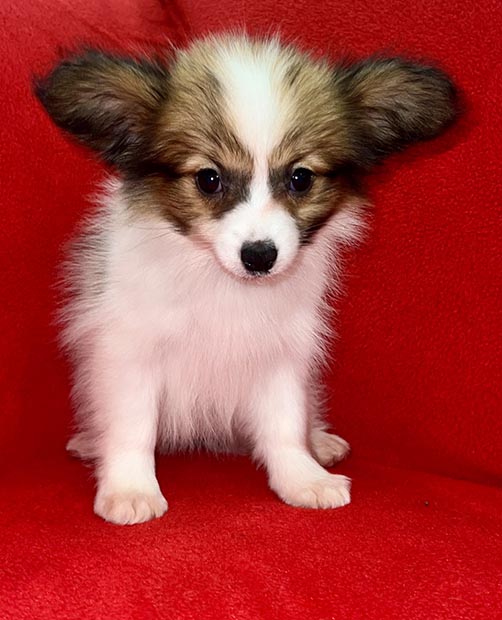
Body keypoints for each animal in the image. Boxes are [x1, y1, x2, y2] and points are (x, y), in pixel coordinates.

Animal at [35, 35, 457, 524]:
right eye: (208, 179)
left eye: (300, 178)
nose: (259, 256)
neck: (223, 283)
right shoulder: (130, 351)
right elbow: (131, 426)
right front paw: (129, 488)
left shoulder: (283, 353)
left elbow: (285, 425)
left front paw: (303, 477)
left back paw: (320, 440)